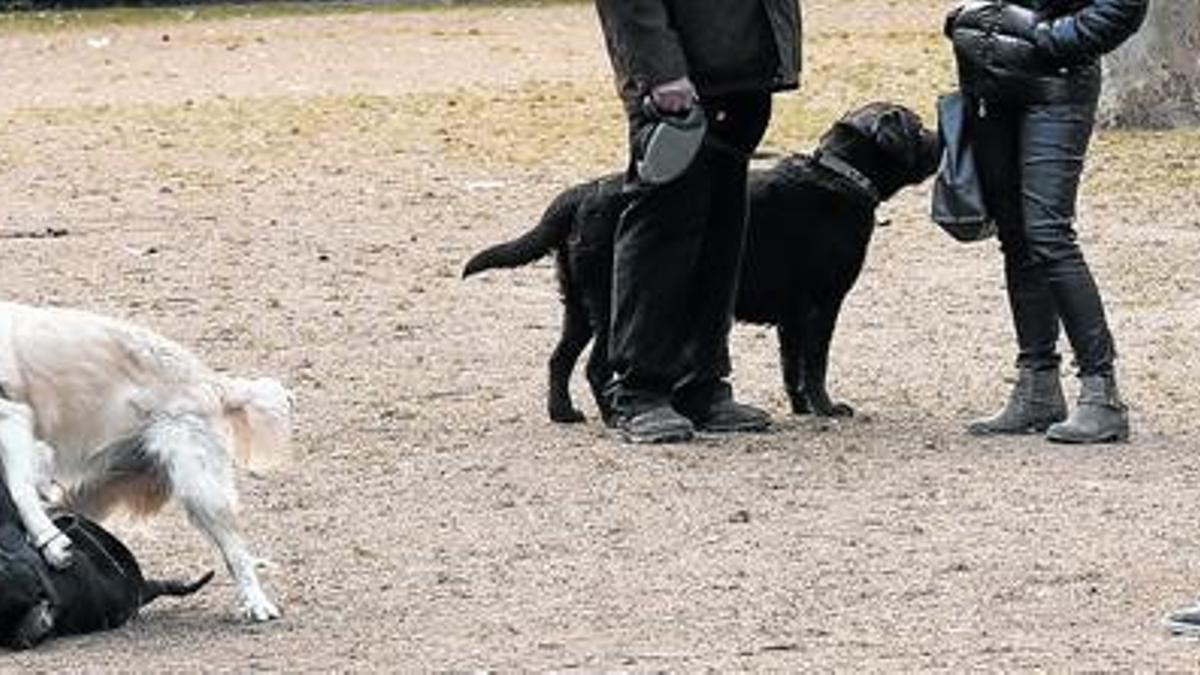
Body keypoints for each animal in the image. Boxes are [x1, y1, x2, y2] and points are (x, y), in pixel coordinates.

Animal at [0, 300, 292, 619]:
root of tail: (210, 379)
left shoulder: (13, 418)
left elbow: (20, 492)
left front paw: (51, 543)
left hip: (200, 488)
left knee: (237, 551)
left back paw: (257, 603)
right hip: (99, 487)